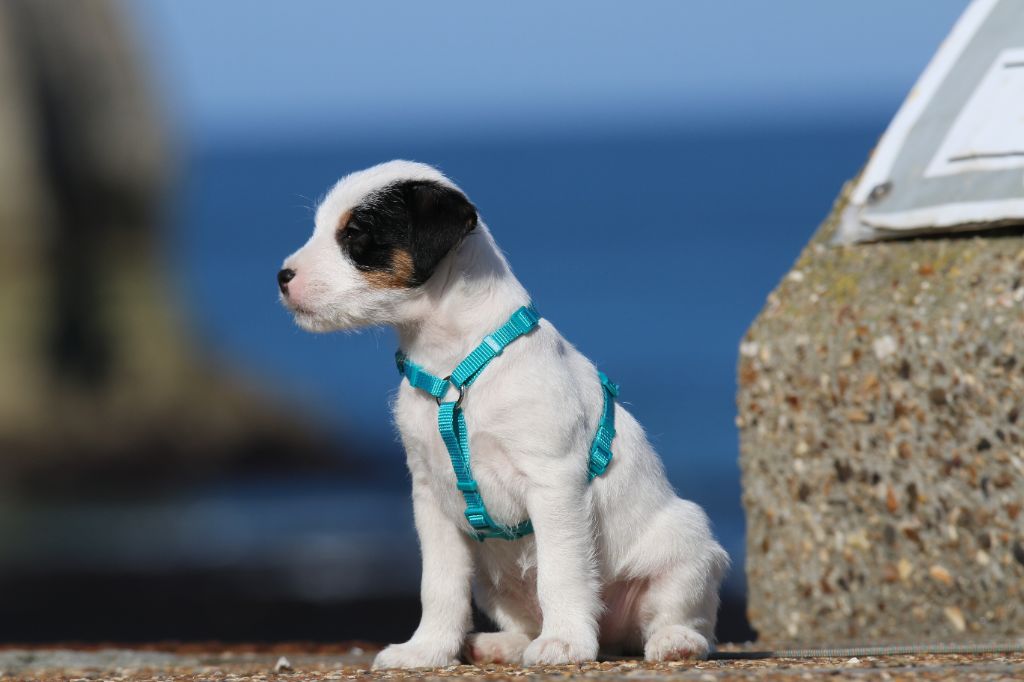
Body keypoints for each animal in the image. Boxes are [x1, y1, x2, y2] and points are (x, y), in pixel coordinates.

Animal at [280, 160, 729, 667]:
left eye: (355, 233)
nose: (282, 276)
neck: (456, 369)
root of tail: (614, 635)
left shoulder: (554, 484)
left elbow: (562, 571)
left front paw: (566, 642)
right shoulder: (431, 498)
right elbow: (439, 585)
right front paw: (427, 649)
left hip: (687, 544)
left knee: (682, 618)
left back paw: (674, 641)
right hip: (493, 583)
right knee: (524, 621)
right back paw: (500, 644)